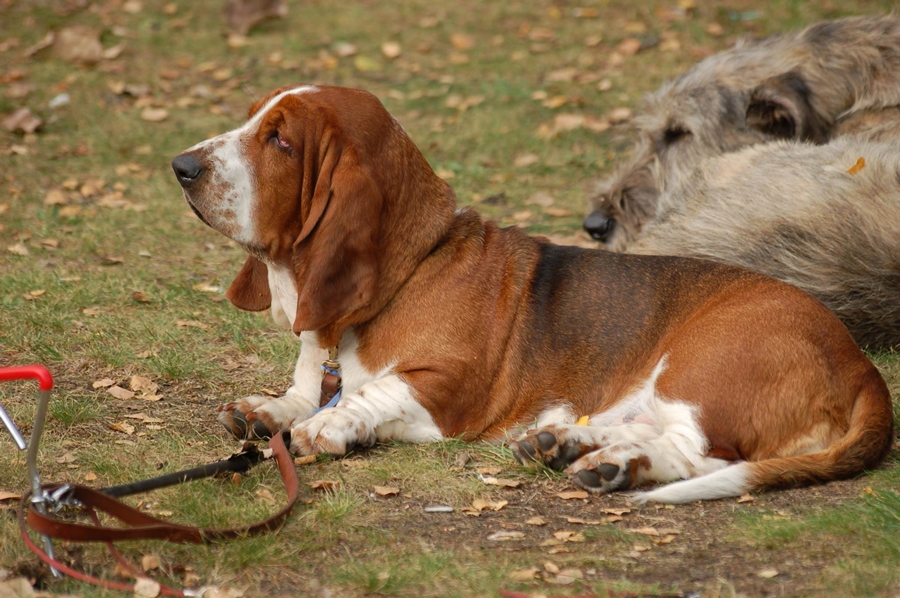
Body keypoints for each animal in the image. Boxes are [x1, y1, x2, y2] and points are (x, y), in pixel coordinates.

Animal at [171, 85, 892, 506]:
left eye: (280, 140)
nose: (181, 165)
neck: (409, 271)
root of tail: (859, 365)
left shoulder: (447, 391)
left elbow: (371, 394)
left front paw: (328, 423)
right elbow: (301, 391)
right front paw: (270, 411)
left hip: (700, 366)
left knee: (698, 450)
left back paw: (613, 466)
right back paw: (566, 445)